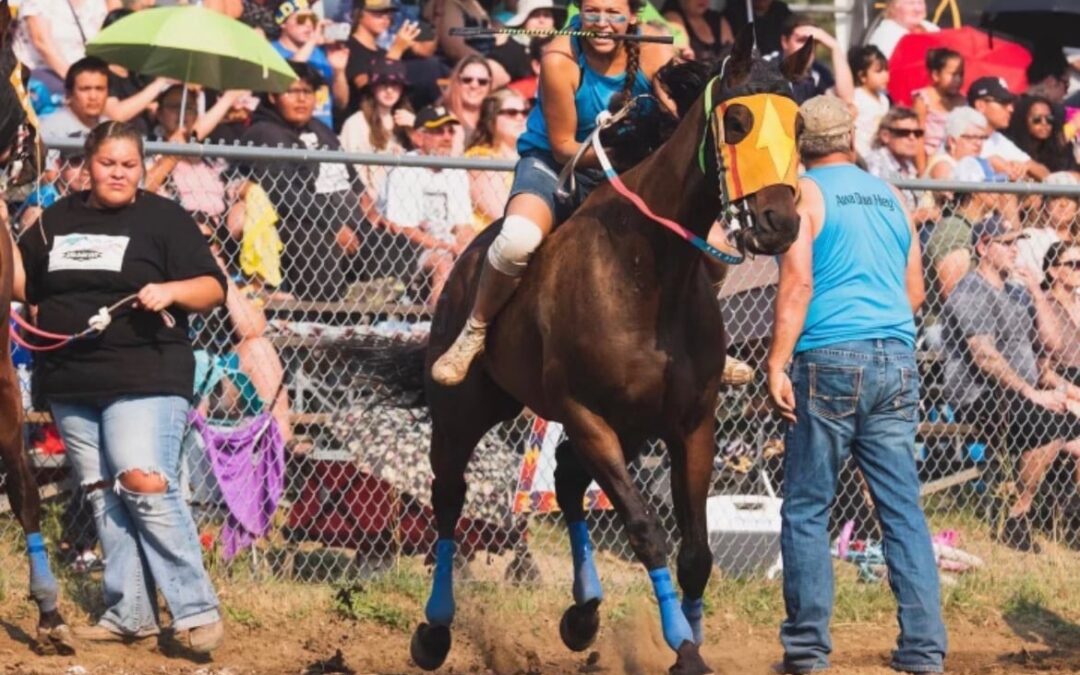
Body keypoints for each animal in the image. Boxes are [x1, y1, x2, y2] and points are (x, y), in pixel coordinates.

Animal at [362, 28, 812, 669]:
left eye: (799, 127)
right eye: (737, 120)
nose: (779, 223)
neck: (646, 271)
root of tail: (463, 263)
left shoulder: (689, 422)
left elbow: (696, 552)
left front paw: (690, 640)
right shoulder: (586, 413)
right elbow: (646, 529)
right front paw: (681, 644)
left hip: (629, 425)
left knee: (570, 480)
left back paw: (583, 613)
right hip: (463, 413)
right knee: (449, 497)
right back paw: (435, 630)